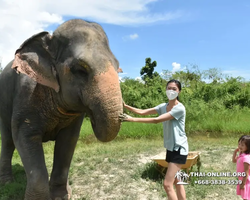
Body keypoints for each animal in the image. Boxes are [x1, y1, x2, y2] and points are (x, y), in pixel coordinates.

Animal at [0, 19, 122, 200]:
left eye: (118, 66)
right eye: (80, 70)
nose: (93, 116)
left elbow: (68, 142)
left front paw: (60, 196)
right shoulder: (25, 95)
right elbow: (23, 136)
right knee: (8, 141)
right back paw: (7, 183)